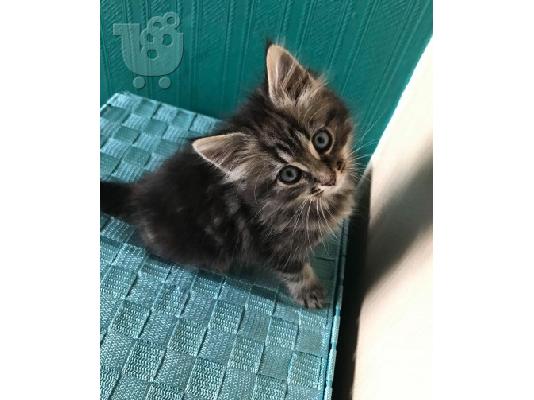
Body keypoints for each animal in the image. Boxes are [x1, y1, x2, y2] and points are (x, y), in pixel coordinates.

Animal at [102, 43, 358, 308]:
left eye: (321, 140)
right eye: (289, 174)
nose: (330, 179)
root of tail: (138, 191)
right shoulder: (270, 245)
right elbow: (295, 270)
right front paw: (311, 293)